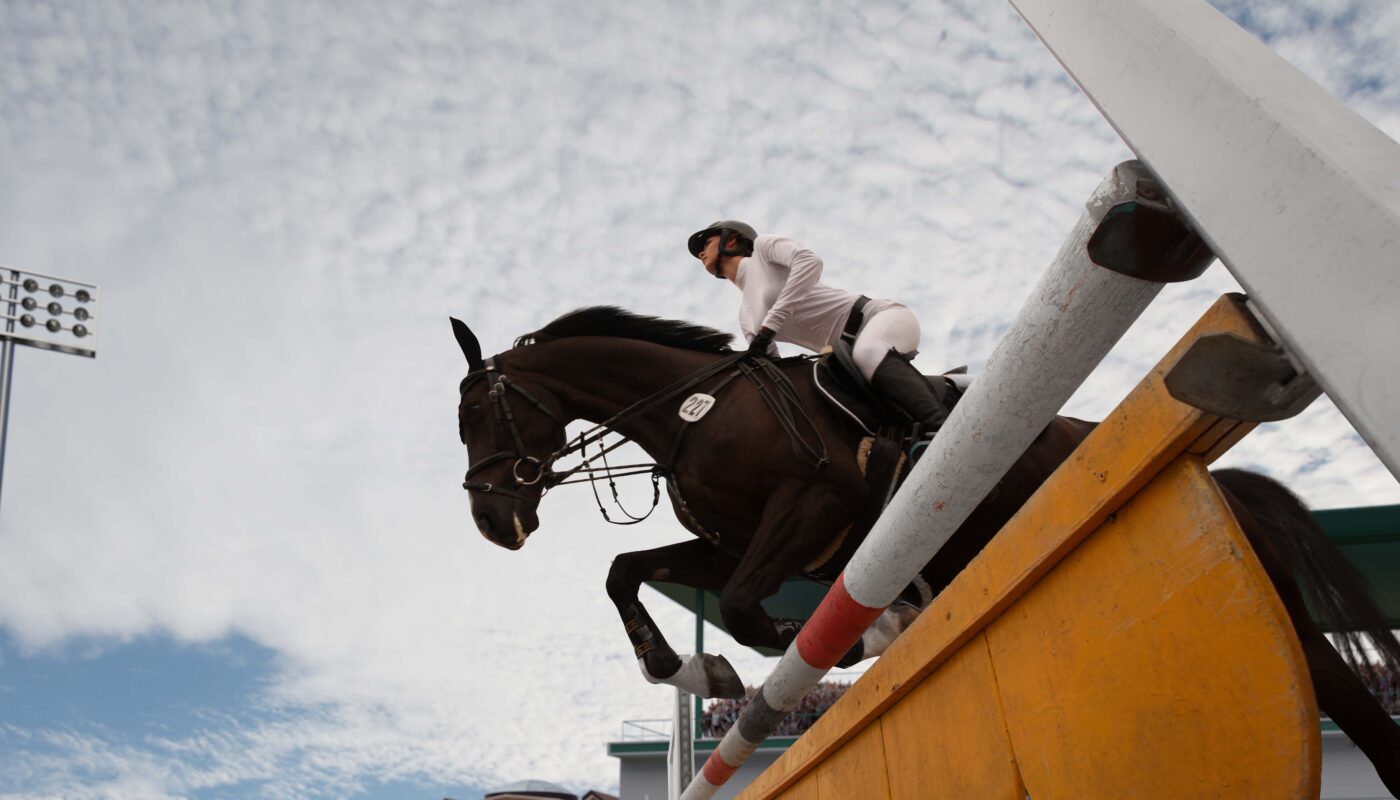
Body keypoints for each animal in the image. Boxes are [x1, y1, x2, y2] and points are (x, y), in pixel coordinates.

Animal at [452, 306, 1400, 796]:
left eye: (471, 415)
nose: (493, 521)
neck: (697, 408)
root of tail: (1223, 483)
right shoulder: (738, 545)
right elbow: (628, 572)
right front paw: (690, 669)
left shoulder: (813, 509)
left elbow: (762, 616)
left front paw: (874, 634)